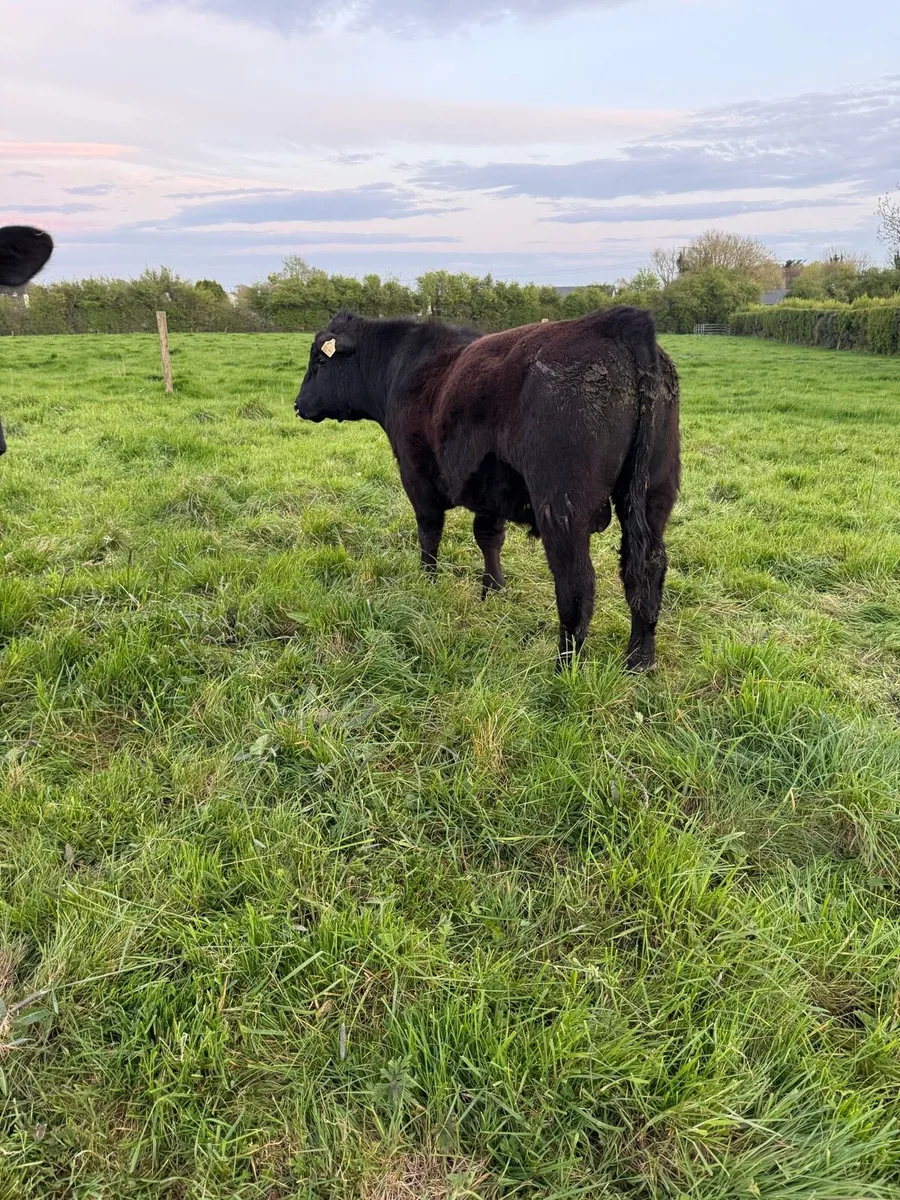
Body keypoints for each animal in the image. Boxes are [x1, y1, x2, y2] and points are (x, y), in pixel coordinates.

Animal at [294, 306, 680, 672]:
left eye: (318, 361)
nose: (298, 404)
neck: (402, 367)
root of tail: (619, 323)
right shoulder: (489, 492)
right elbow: (488, 537)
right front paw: (492, 589)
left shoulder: (416, 477)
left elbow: (429, 532)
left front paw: (427, 581)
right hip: (654, 495)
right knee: (646, 569)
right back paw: (639, 660)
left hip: (563, 508)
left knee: (577, 584)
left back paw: (563, 667)